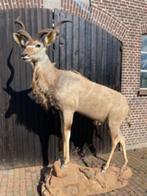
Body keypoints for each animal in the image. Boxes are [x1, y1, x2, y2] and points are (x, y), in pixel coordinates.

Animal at [12, 17, 130, 172]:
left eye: (38, 45)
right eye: (25, 45)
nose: (24, 55)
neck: (56, 77)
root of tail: (126, 104)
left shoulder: (69, 110)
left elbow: (67, 133)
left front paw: (65, 163)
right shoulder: (61, 112)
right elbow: (63, 133)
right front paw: (63, 160)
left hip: (113, 124)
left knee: (115, 140)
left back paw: (105, 167)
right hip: (115, 124)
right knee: (122, 138)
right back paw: (124, 165)